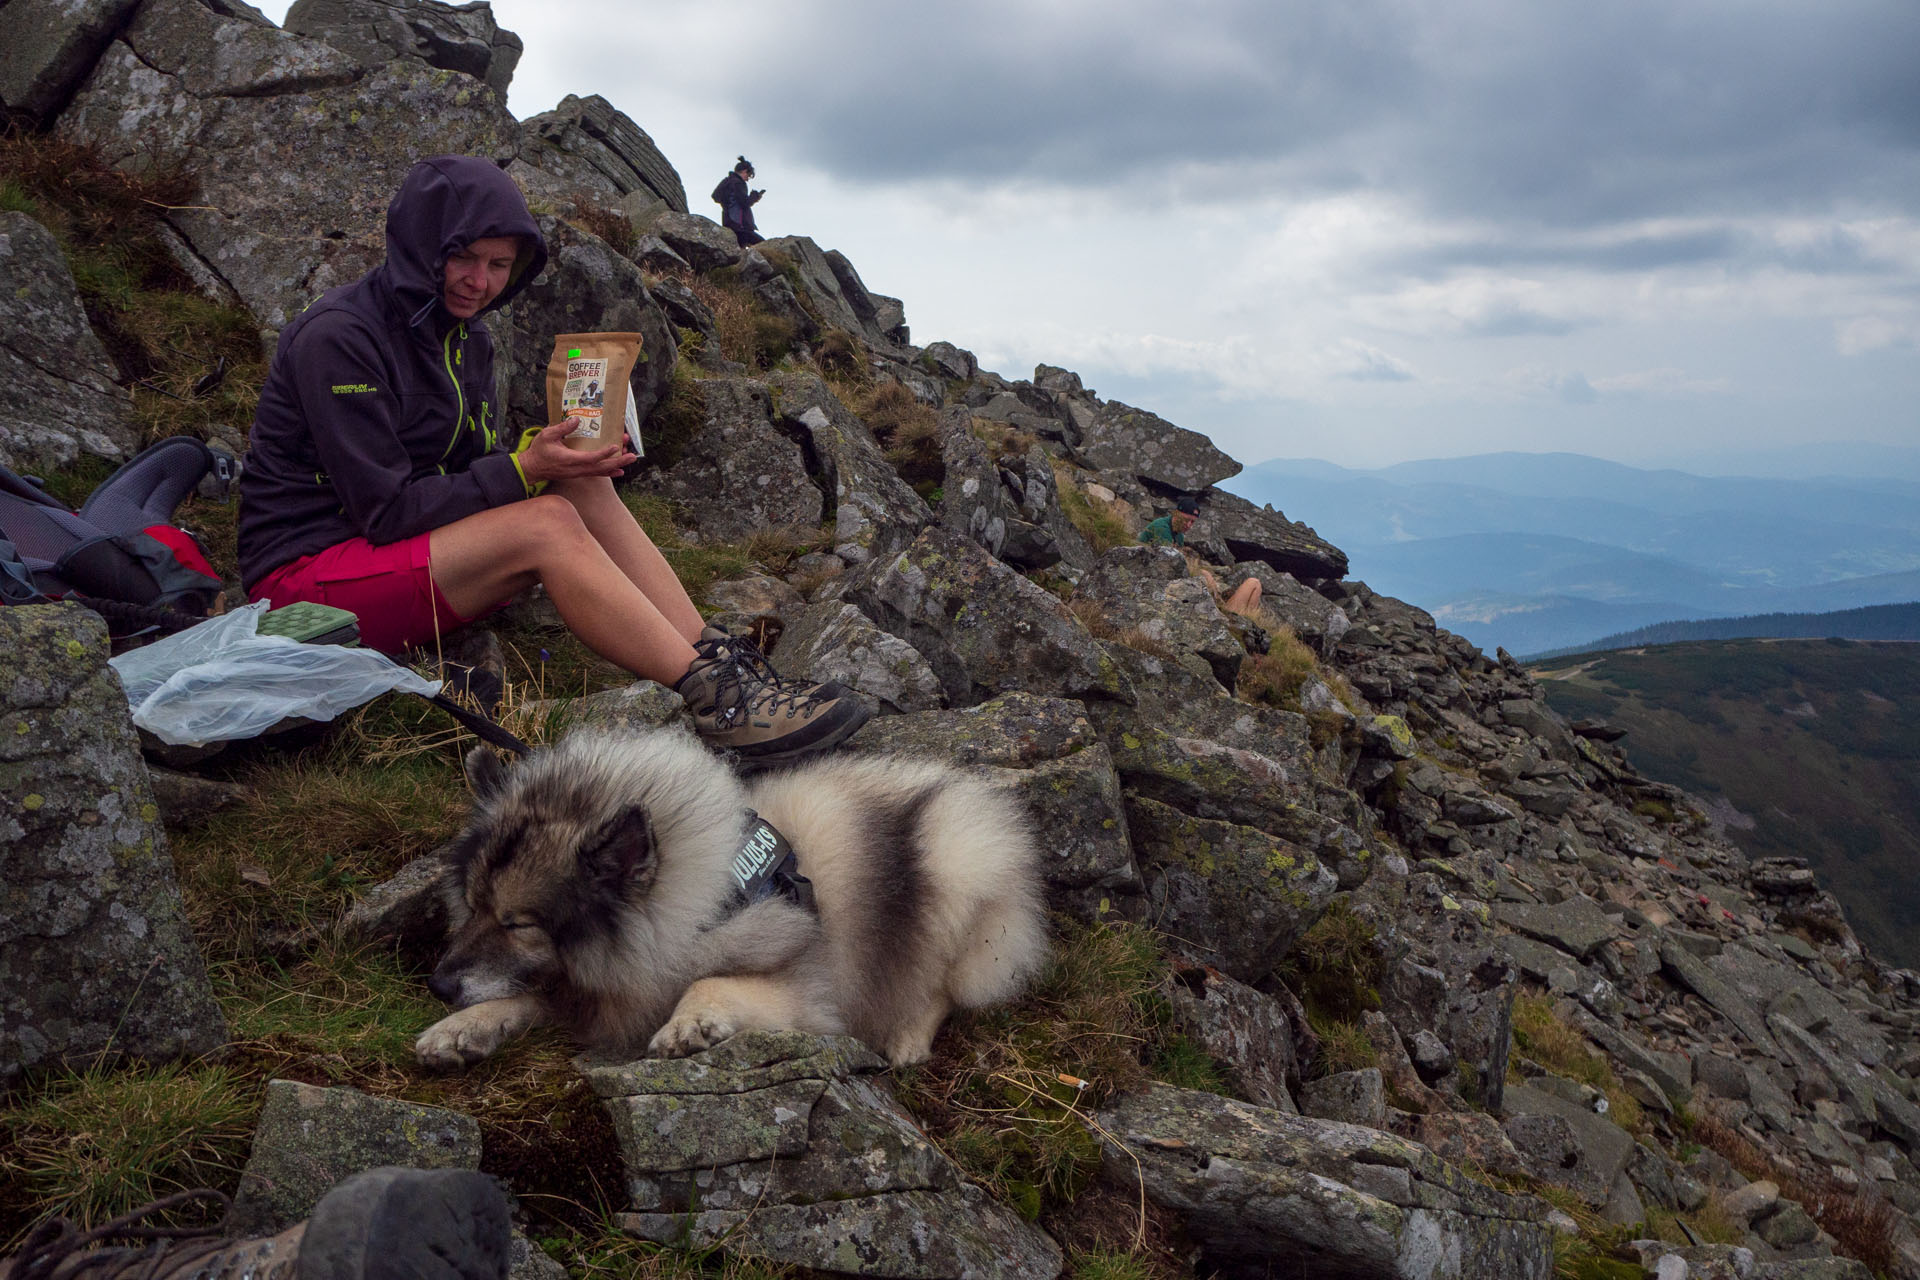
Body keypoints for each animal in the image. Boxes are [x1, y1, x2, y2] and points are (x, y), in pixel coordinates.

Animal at [412, 729, 1059, 1074]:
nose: (438, 984)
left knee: (944, 988)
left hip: (957, 878)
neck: (703, 902)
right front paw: (460, 1027)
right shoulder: (600, 992)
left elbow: (710, 982)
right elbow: (527, 995)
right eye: (472, 905)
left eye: (517, 923)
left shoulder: (808, 996)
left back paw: (905, 1038)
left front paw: (691, 1022)